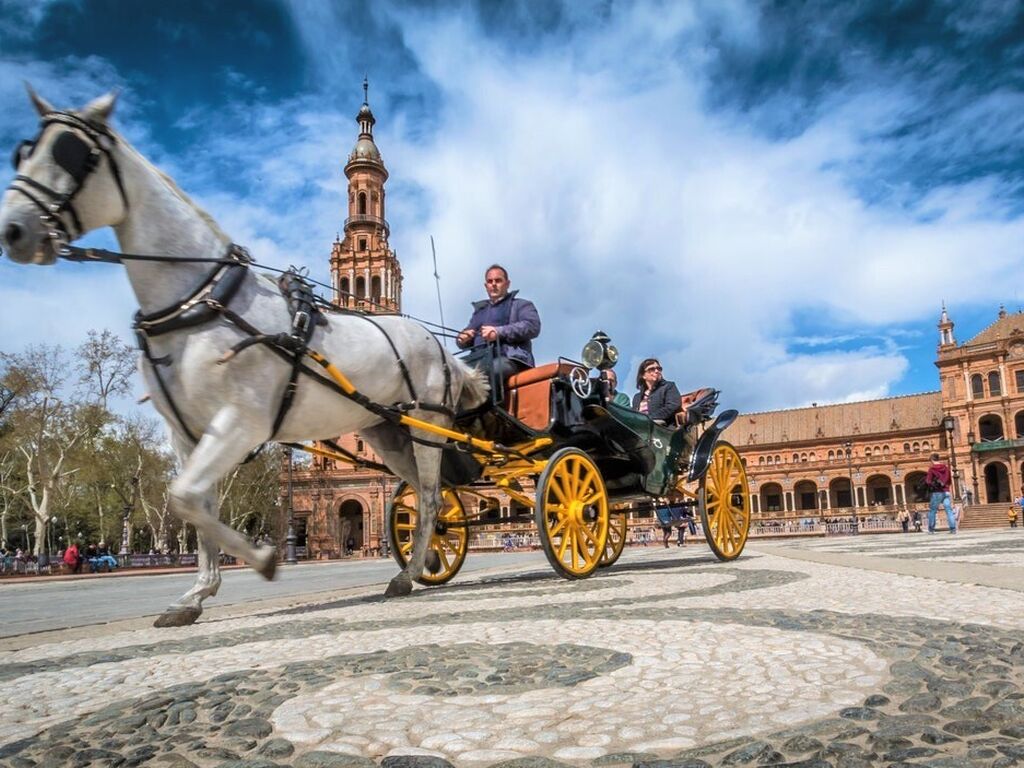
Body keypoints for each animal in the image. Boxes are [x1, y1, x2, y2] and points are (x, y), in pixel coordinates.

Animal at [0, 90, 487, 626]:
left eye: (69, 153)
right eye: (24, 151)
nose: (14, 229)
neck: (202, 300)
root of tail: (440, 349)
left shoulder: (241, 420)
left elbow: (188, 499)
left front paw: (262, 558)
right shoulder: (190, 434)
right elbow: (195, 504)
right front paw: (198, 593)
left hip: (426, 426)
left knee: (428, 495)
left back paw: (407, 573)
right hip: (389, 433)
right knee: (428, 495)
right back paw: (426, 562)